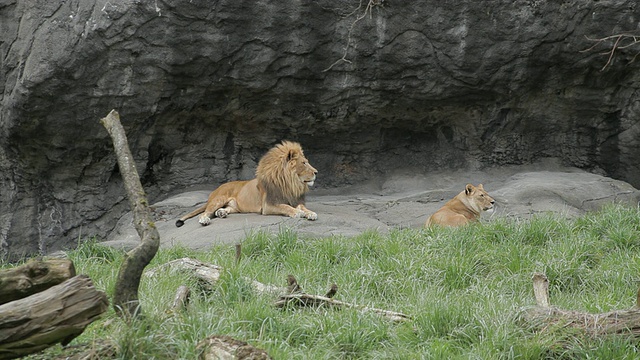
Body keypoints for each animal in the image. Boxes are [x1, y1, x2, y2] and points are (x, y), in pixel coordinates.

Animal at [175, 141, 318, 228]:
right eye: (304, 163)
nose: (316, 172)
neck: (290, 183)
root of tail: (215, 190)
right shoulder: (268, 205)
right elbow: (285, 207)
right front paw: (297, 212)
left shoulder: (294, 199)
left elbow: (303, 207)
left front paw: (310, 213)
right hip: (218, 199)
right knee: (205, 213)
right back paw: (205, 220)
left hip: (234, 207)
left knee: (225, 209)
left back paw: (221, 213)